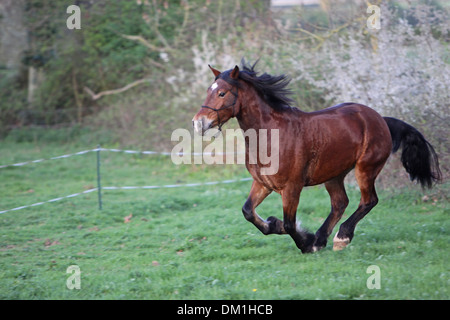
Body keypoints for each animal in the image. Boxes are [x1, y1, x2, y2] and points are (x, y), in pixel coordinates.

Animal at [192, 61, 442, 254]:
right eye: (208, 91)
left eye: (222, 93)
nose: (198, 123)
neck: (271, 134)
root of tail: (380, 119)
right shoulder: (262, 184)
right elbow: (248, 212)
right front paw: (276, 225)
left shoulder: (292, 187)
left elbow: (290, 224)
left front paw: (304, 241)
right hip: (334, 174)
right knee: (340, 203)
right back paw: (321, 239)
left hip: (365, 168)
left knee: (368, 200)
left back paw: (340, 238)